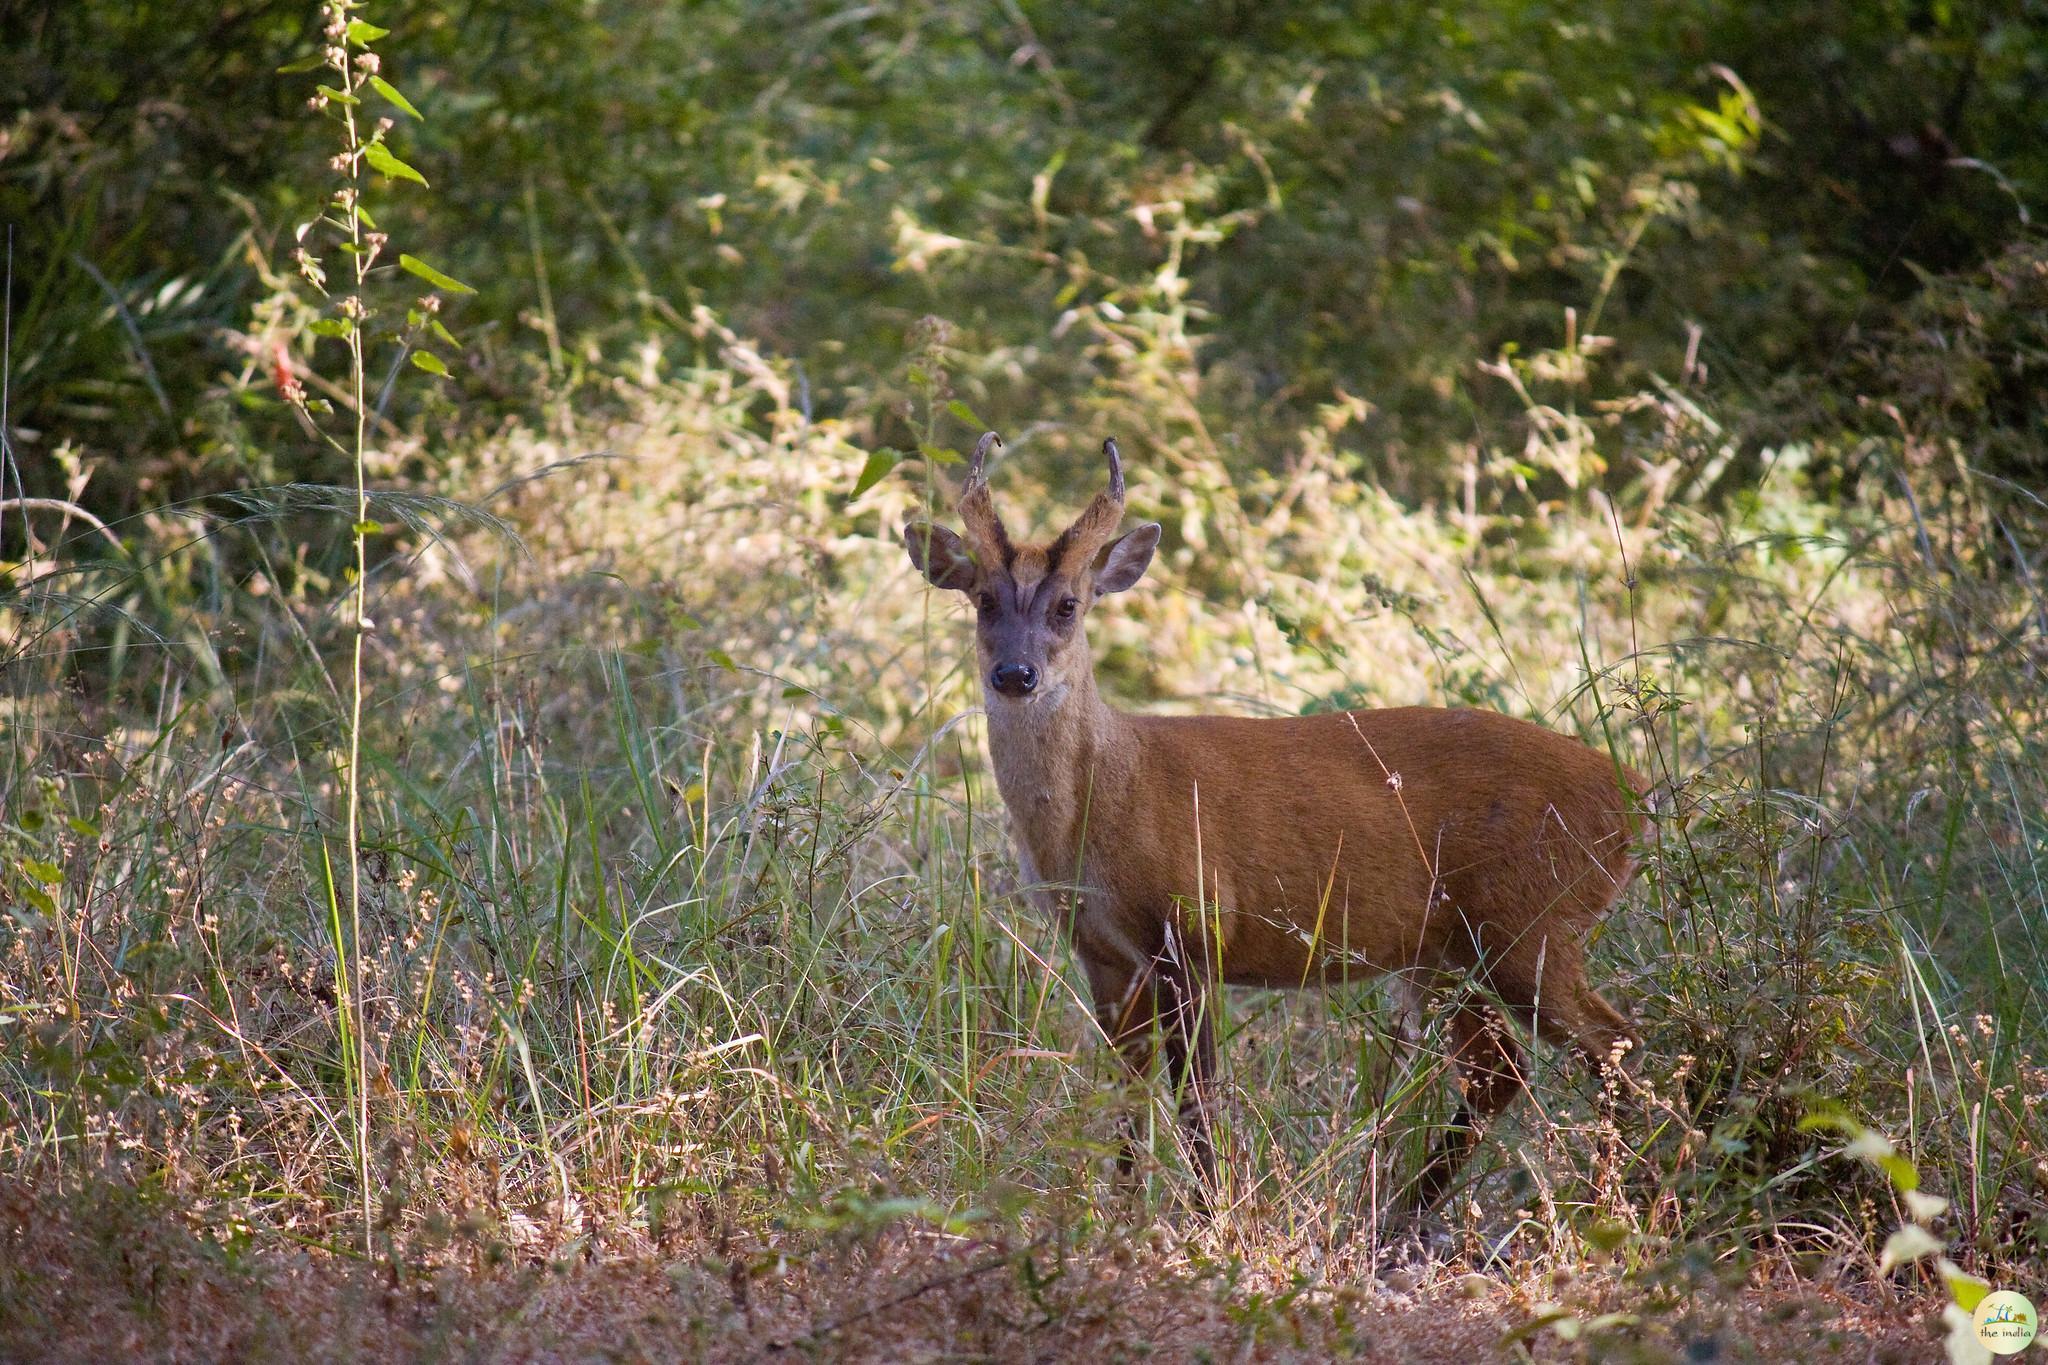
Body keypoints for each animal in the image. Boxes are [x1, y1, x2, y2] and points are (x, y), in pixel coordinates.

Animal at [905, 431, 1638, 1211]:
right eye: (984, 600)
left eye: (1069, 605)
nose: (1016, 675)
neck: (1105, 805)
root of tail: (1633, 803)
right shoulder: (1102, 954)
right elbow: (1128, 1103)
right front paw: (1122, 1214)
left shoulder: (1192, 926)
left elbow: (1197, 1099)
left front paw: (1209, 1217)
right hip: (1447, 950)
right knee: (1503, 1068)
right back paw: (1405, 1215)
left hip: (1530, 923)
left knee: (1615, 1045)